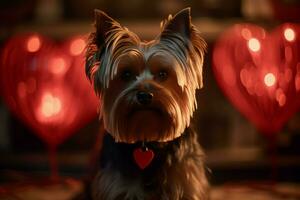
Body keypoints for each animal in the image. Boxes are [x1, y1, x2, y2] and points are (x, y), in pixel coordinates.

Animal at [83, 7, 207, 199]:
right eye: (126, 74)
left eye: (163, 74)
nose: (144, 95)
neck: (147, 142)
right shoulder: (116, 187)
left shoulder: (185, 184)